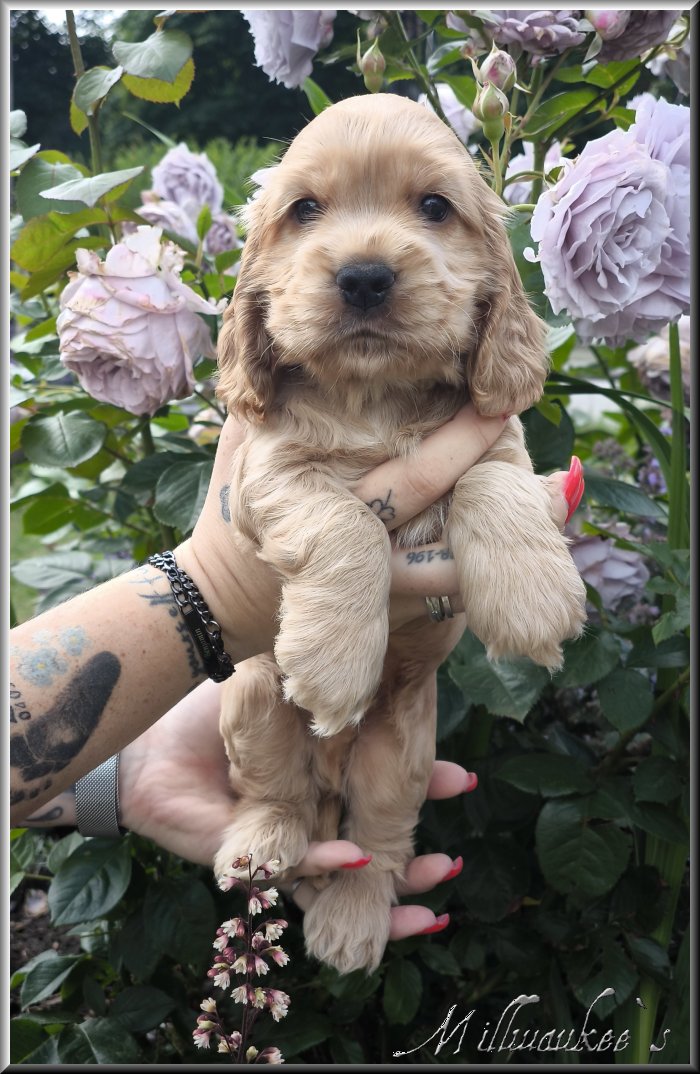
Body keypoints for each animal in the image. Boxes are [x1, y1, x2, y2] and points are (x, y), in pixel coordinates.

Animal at [213, 93, 586, 973]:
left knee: (377, 845)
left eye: (434, 207)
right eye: (304, 210)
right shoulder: (266, 470)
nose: (364, 276)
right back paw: (261, 845)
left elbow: (495, 482)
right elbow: (344, 518)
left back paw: (351, 920)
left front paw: (531, 597)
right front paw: (333, 658)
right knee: (275, 793)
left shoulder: (499, 439)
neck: (373, 396)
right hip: (251, 697)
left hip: (401, 748)